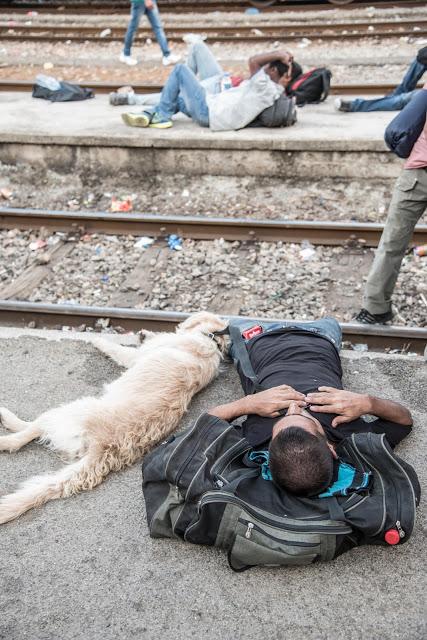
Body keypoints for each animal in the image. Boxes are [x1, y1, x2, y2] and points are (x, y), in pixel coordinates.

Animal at [0, 312, 229, 524]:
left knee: (26, 433)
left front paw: (98, 339)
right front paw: (144, 333)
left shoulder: (135, 355)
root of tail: (103, 448)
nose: (141, 333)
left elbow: (116, 348)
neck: (211, 340)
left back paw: (6, 428)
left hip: (70, 410)